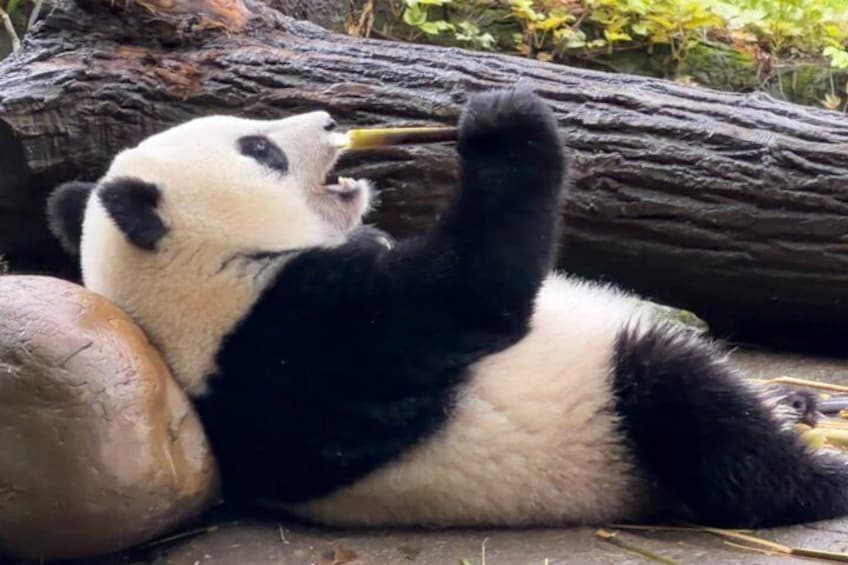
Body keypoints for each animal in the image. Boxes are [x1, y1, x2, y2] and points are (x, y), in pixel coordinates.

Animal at [46, 88, 848, 529]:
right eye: (259, 149)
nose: (330, 119)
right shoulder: (302, 341)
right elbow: (475, 292)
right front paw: (500, 122)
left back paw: (801, 403)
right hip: (616, 429)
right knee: (688, 403)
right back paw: (821, 473)